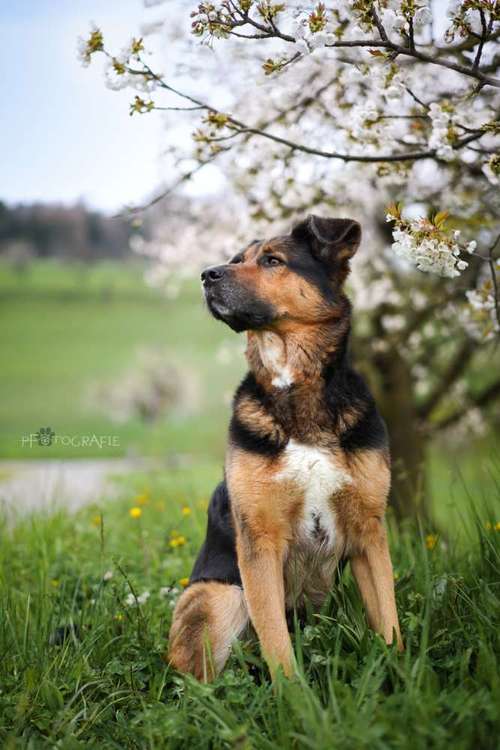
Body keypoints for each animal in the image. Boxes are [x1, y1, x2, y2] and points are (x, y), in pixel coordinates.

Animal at [168, 216, 402, 680]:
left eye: (272, 261)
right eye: (236, 259)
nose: (206, 274)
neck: (295, 385)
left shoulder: (369, 533)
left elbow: (389, 621)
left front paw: (403, 679)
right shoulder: (260, 541)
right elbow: (276, 641)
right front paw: (294, 696)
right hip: (216, 596)